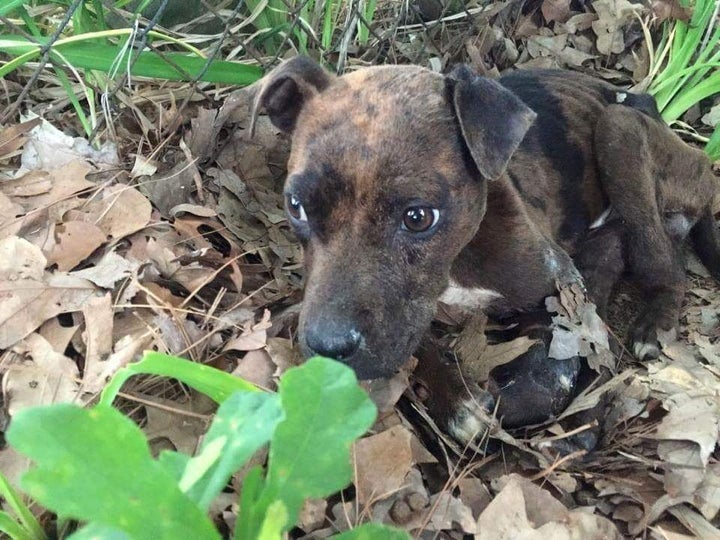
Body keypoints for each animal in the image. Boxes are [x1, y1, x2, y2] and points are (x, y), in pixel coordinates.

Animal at [252, 56, 720, 442]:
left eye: (418, 217)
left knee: (665, 264)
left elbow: (546, 376)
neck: (458, 259)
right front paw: (456, 400)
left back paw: (653, 326)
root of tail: (645, 101)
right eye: (296, 206)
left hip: (619, 132)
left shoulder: (559, 290)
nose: (327, 346)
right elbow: (421, 346)